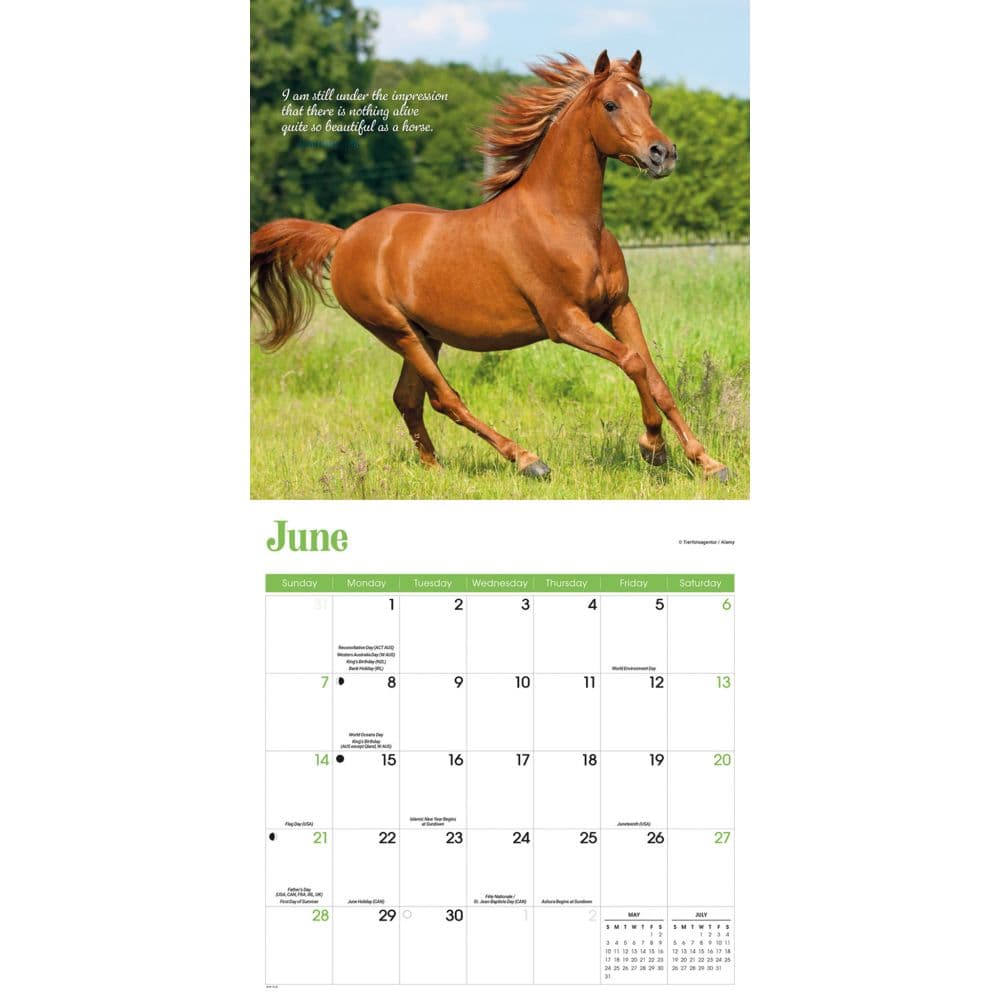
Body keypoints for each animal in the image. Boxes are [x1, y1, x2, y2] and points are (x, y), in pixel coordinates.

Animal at [251, 50, 729, 481]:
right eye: (611, 104)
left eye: (647, 101)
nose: (662, 154)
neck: (567, 222)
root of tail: (344, 236)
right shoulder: (565, 322)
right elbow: (632, 363)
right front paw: (654, 447)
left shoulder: (619, 309)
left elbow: (655, 377)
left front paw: (707, 463)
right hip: (397, 331)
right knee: (445, 399)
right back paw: (528, 461)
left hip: (425, 335)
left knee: (408, 399)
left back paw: (436, 470)